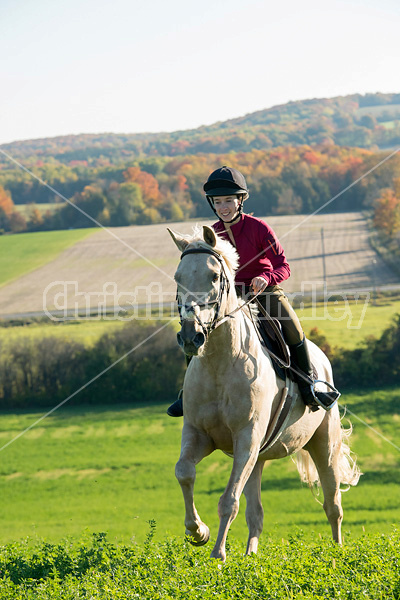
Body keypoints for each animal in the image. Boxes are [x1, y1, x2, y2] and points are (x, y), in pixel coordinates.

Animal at [167, 223, 360, 560]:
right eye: (179, 277)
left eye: (214, 276)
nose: (191, 336)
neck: (220, 363)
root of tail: (322, 358)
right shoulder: (199, 434)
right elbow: (184, 472)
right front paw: (198, 531)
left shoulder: (246, 438)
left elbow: (229, 500)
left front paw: (217, 555)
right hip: (258, 457)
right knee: (256, 513)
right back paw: (250, 556)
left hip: (324, 444)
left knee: (333, 504)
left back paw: (337, 553)